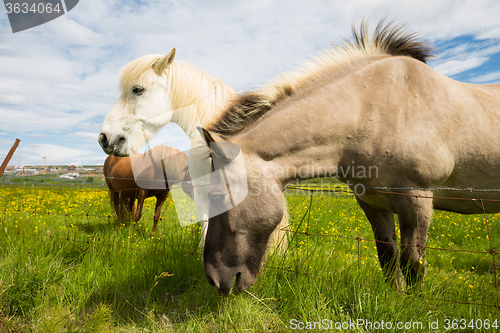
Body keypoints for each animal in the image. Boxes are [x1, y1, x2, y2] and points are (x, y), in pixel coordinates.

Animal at [196, 20, 500, 294]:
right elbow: (388, 259)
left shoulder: (418, 199)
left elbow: (413, 263)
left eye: (217, 197)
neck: (379, 109)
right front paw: (395, 299)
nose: (212, 279)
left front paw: (415, 306)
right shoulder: (372, 203)